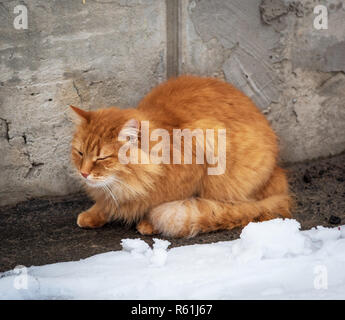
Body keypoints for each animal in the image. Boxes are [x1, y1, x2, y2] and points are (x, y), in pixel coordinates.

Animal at [70, 75, 290, 238]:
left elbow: (163, 202)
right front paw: (93, 214)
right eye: (80, 153)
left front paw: (148, 223)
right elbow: (106, 204)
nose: (83, 173)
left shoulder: (197, 159)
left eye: (102, 158)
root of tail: (277, 172)